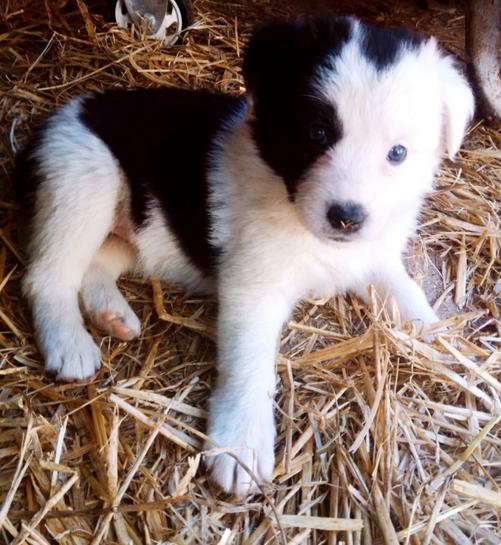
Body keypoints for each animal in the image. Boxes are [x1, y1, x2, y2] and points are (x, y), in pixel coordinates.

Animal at [16, 15, 474, 496]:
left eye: (397, 153)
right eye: (316, 133)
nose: (346, 217)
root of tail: (62, 115)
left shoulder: (372, 254)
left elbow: (404, 289)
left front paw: (438, 337)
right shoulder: (254, 286)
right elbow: (248, 362)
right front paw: (241, 443)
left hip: (130, 233)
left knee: (94, 268)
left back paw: (112, 315)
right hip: (83, 181)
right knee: (48, 276)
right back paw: (69, 343)